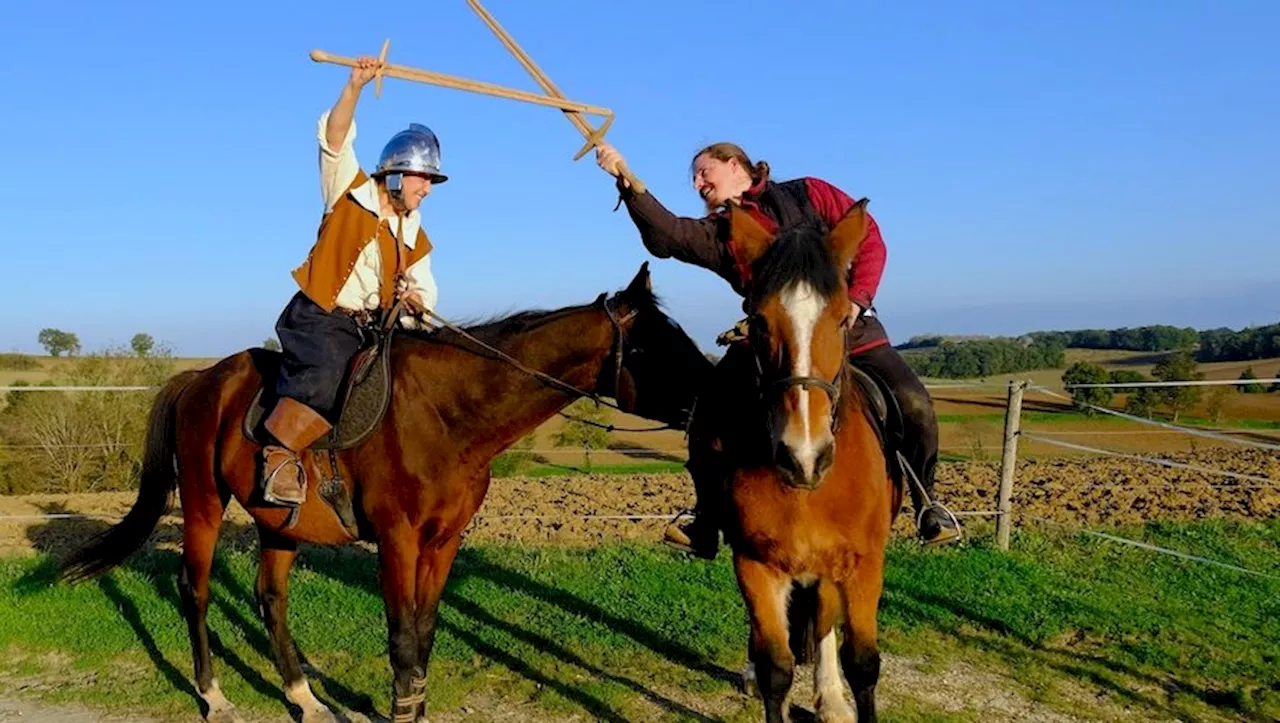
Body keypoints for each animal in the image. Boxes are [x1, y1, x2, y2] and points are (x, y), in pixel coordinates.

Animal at [55, 263, 711, 721]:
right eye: (655, 345)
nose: (711, 399)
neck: (448, 416)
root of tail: (200, 379)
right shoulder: (398, 540)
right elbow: (400, 636)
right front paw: (401, 712)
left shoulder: (444, 542)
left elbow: (424, 631)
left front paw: (413, 707)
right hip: (202, 504)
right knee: (195, 592)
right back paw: (214, 697)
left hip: (279, 522)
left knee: (271, 599)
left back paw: (304, 697)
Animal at [696, 203, 906, 721]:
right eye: (758, 321)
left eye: (842, 319)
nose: (802, 456)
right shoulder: (755, 565)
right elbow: (776, 667)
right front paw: (764, 678)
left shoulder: (862, 565)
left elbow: (863, 664)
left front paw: (838, 695)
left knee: (824, 620)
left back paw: (830, 699)